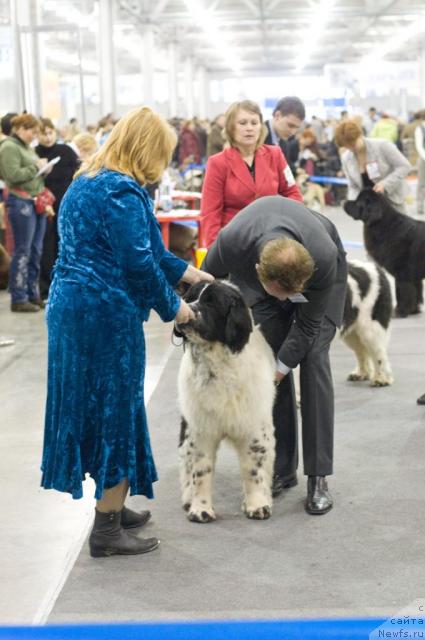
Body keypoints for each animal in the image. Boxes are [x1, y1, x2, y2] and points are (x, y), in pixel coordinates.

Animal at [173, 282, 274, 524]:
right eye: (189, 297)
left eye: (211, 303)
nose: (187, 310)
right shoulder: (200, 429)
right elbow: (201, 470)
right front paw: (200, 509)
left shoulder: (253, 427)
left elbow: (253, 469)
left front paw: (257, 505)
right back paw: (188, 497)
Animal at [340, 258, 392, 388]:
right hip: (351, 332)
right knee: (361, 351)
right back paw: (361, 373)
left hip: (370, 328)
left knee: (378, 353)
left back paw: (381, 379)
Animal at [344, 190, 424, 320]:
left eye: (358, 202)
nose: (344, 202)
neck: (386, 225)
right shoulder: (413, 276)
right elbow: (416, 292)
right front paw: (413, 311)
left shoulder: (403, 274)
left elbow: (402, 293)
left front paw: (400, 312)